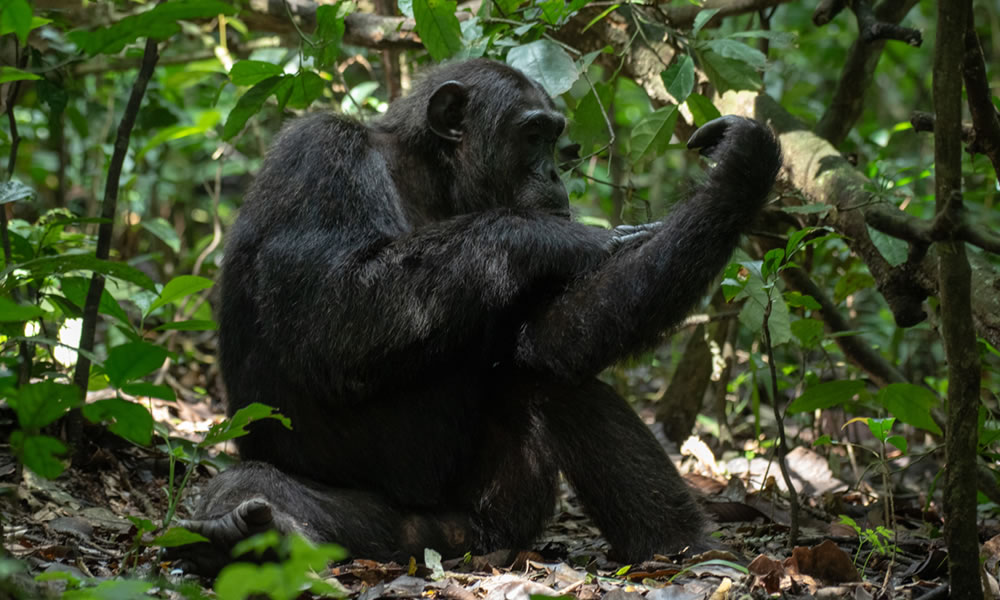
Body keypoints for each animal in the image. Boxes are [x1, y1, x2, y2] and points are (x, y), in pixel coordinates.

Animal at [172, 57, 780, 576]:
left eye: (555, 139)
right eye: (534, 136)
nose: (556, 175)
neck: (430, 178)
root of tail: (441, 546)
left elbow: (553, 336)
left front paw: (740, 172)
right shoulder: (320, 156)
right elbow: (335, 311)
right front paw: (560, 236)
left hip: (497, 519)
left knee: (550, 381)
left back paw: (690, 553)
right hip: (398, 530)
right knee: (255, 483)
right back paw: (243, 531)